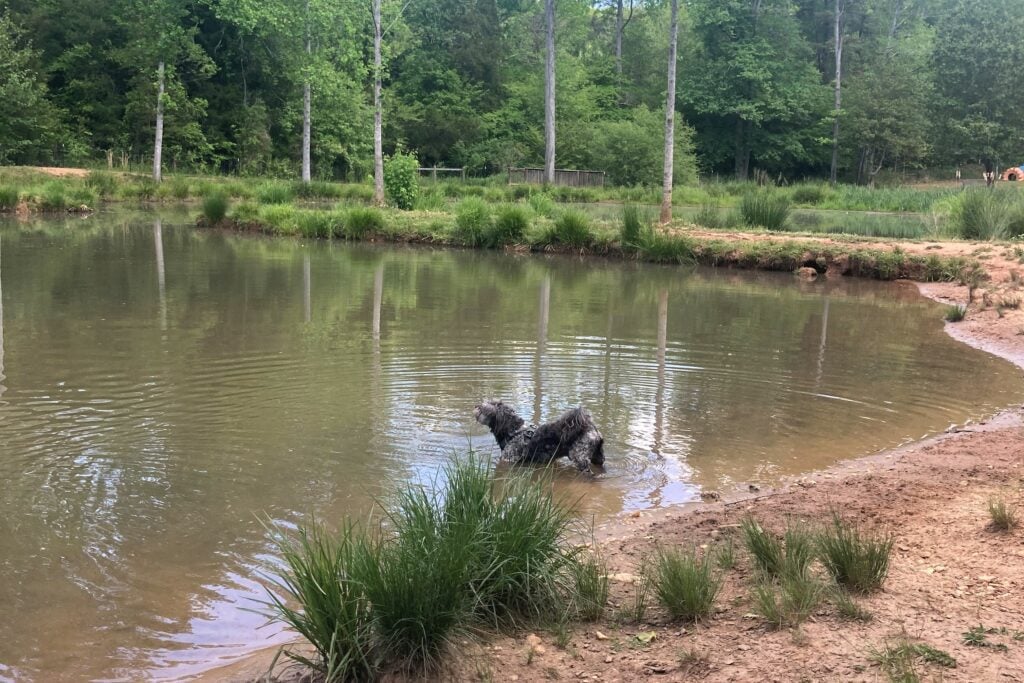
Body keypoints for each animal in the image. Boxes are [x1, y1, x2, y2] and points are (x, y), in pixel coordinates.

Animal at [473, 397, 602, 473]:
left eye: (484, 408)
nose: (476, 406)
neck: (513, 431)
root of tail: (591, 428)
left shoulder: (508, 460)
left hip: (580, 459)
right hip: (598, 457)